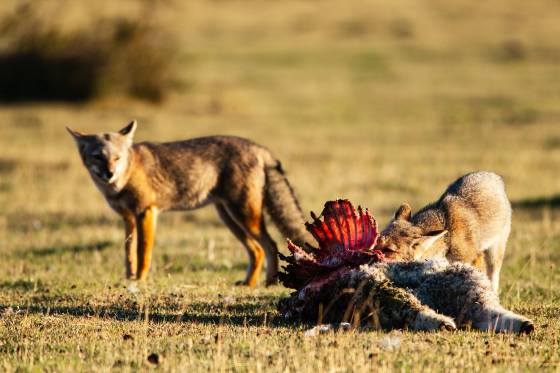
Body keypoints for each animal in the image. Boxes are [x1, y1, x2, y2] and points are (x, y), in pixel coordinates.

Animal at [67, 120, 310, 286]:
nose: (109, 174)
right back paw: (249, 283)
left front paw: (140, 281)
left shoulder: (146, 212)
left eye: (117, 158)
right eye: (98, 156)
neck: (127, 175)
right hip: (229, 218)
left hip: (244, 216)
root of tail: (258, 147)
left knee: (270, 245)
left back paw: (269, 283)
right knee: (258, 250)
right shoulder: (128, 217)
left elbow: (143, 252)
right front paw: (129, 278)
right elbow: (129, 253)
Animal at [376, 170, 512, 292]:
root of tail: (492, 175)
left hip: (494, 256)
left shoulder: (474, 259)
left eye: (389, 250)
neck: (448, 235)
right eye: (376, 242)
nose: (371, 255)